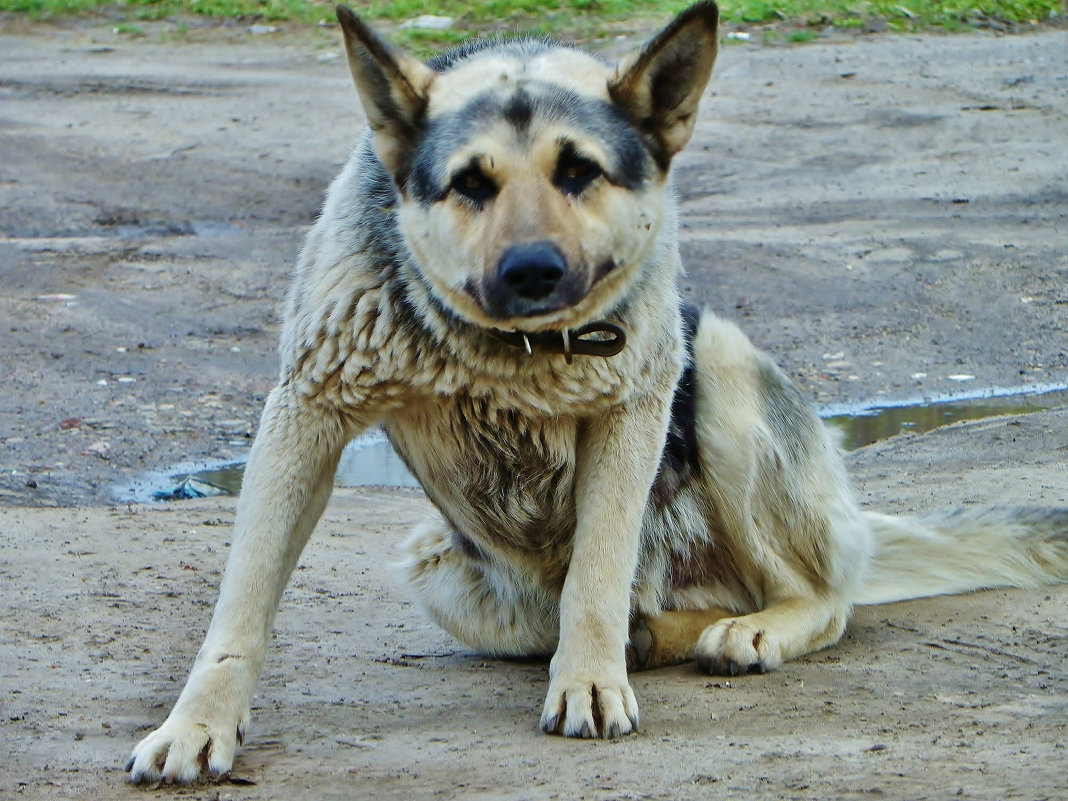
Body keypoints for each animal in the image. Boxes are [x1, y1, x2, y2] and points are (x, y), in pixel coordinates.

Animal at [127, 3, 1068, 786]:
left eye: (579, 172)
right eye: (471, 183)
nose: (533, 271)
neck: (506, 355)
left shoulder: (629, 411)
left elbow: (597, 573)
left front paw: (587, 684)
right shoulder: (308, 414)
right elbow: (239, 609)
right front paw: (196, 726)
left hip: (718, 365)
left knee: (820, 598)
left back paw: (747, 629)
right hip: (438, 568)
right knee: (642, 609)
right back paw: (658, 635)